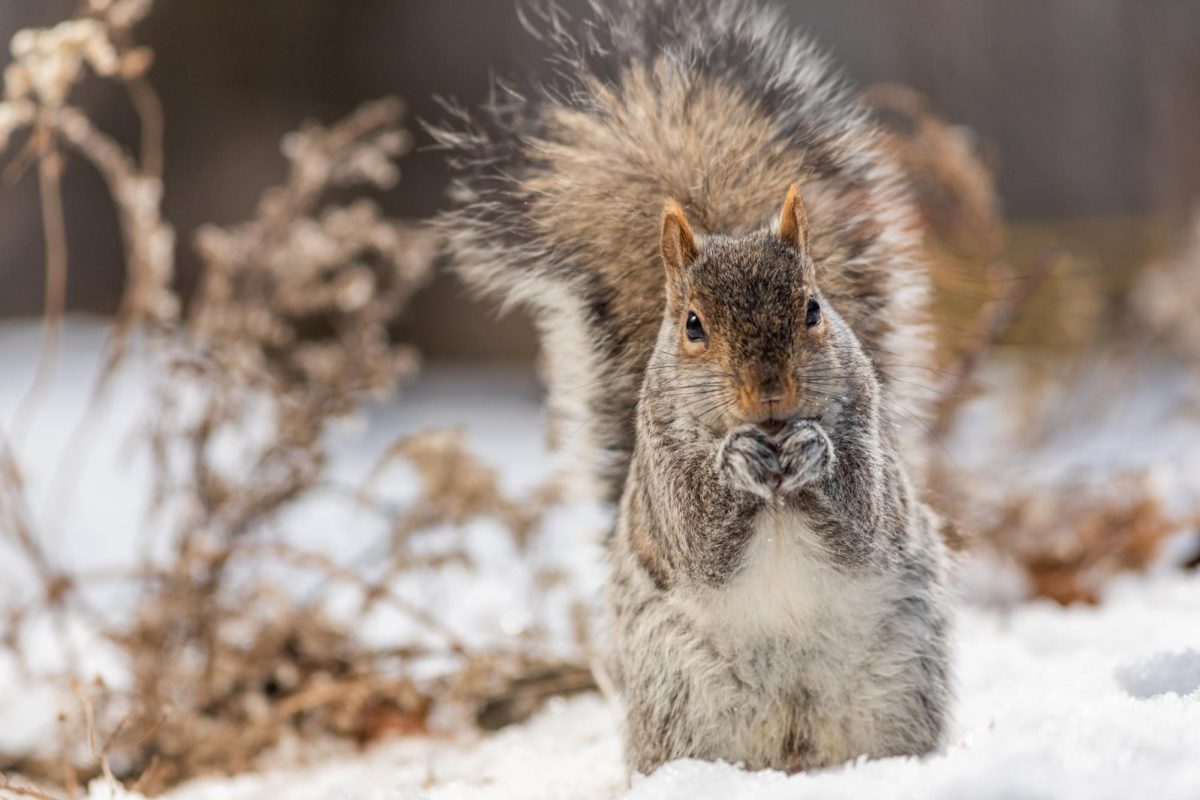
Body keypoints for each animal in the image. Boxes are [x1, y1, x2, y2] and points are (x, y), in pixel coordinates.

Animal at [436, 0, 950, 777]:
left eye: (813, 308)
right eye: (693, 325)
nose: (769, 391)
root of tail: (791, 740)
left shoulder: (871, 439)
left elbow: (863, 519)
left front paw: (815, 453)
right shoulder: (662, 470)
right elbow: (698, 537)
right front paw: (736, 465)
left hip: (900, 677)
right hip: (681, 690)